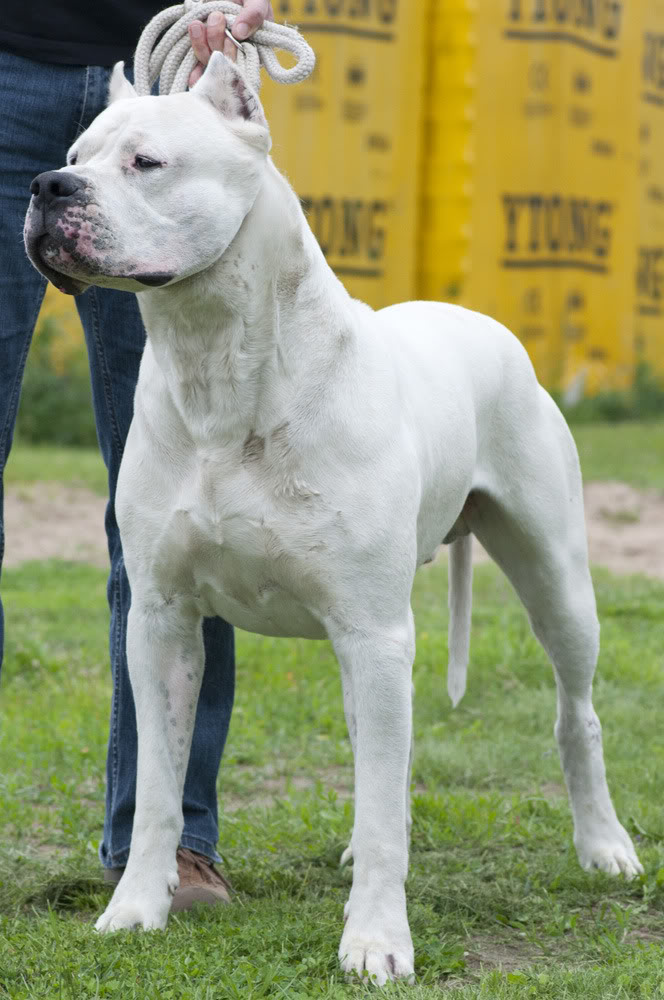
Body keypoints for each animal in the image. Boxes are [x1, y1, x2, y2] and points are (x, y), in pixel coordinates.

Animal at [26, 54, 644, 984]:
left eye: (146, 162)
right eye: (74, 155)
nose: (46, 186)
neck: (218, 364)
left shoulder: (375, 631)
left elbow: (388, 807)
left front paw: (377, 941)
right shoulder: (162, 622)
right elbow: (160, 790)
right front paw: (137, 909)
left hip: (555, 584)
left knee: (578, 715)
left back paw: (604, 845)